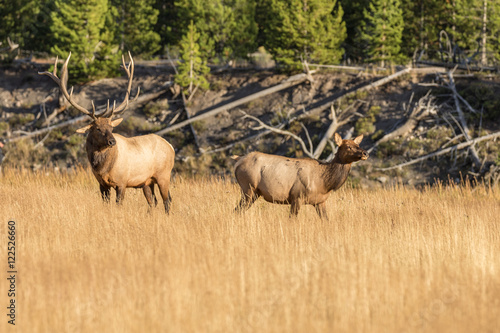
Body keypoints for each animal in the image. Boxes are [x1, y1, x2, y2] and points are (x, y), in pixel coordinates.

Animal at [39, 52, 176, 213]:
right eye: (97, 128)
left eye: (111, 128)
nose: (112, 141)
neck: (102, 167)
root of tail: (171, 147)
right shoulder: (102, 184)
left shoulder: (122, 182)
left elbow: (118, 205)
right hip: (147, 182)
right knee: (153, 202)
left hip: (164, 175)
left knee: (167, 201)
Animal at [233, 134, 368, 219]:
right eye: (348, 147)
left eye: (357, 145)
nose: (365, 153)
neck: (325, 183)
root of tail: (238, 160)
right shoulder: (297, 196)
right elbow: (292, 219)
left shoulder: (320, 201)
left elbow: (326, 220)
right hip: (248, 187)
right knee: (237, 210)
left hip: (255, 193)